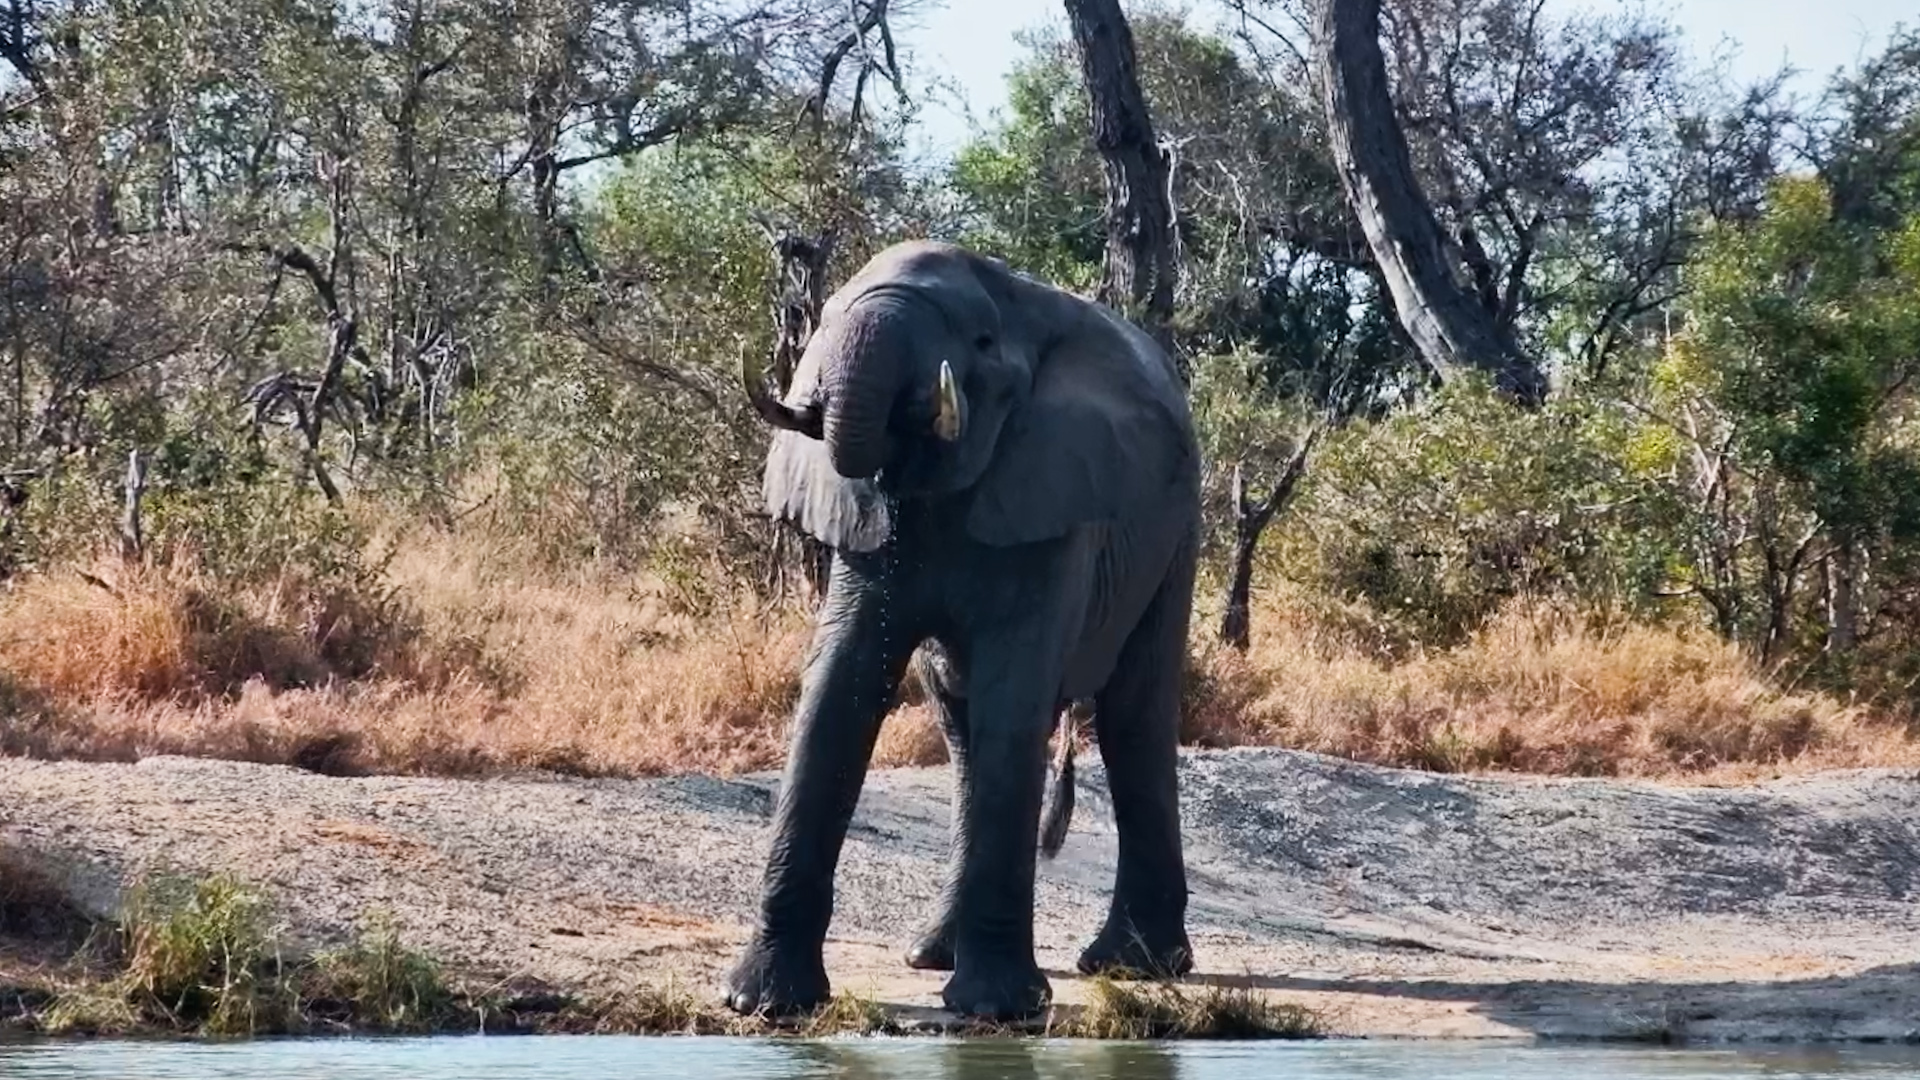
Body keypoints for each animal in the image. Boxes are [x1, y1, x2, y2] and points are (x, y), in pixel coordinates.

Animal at [723, 239, 1201, 1022]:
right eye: (826, 316)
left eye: (978, 343)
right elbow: (839, 686)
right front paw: (763, 1004)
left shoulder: (1054, 493)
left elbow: (1015, 696)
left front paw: (997, 1011)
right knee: (960, 722)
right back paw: (931, 955)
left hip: (1178, 530)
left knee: (1134, 715)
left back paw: (1132, 966)